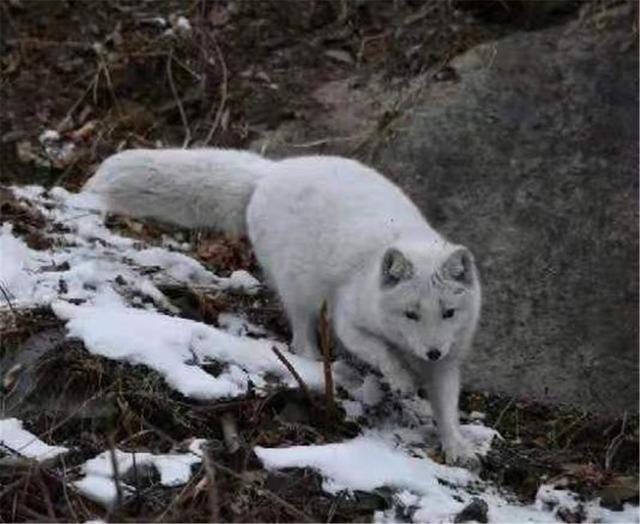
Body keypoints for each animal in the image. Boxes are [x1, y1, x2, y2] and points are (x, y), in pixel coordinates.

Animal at [86, 147, 484, 466]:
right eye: (410, 314)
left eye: (449, 313)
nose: (431, 352)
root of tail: (273, 170)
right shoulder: (349, 319)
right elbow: (380, 350)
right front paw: (400, 378)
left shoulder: (450, 358)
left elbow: (447, 404)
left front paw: (456, 446)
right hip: (299, 287)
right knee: (300, 333)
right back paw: (314, 361)